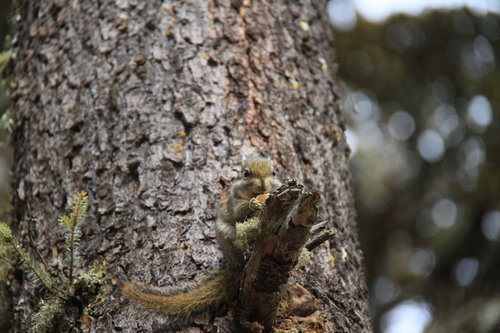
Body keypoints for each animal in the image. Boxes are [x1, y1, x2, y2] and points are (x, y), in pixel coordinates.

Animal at [121, 157, 282, 328]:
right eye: (246, 174)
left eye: (274, 173)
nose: (263, 185)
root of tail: (234, 266)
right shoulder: (233, 202)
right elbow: (239, 212)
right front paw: (253, 204)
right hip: (229, 237)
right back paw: (247, 251)